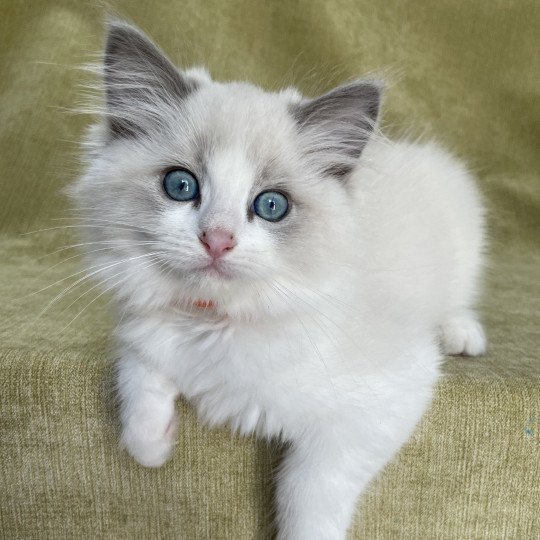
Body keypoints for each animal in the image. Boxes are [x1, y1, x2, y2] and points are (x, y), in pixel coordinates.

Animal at [69, 21, 488, 540]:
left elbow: (308, 490)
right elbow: (139, 387)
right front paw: (155, 445)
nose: (217, 240)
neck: (218, 323)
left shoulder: (382, 402)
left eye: (271, 205)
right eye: (180, 186)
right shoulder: (141, 331)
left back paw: (462, 333)